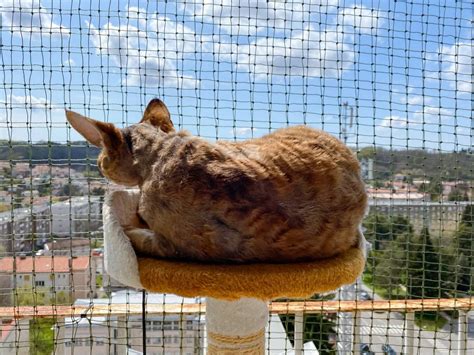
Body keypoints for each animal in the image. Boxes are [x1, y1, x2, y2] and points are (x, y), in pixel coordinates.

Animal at [65, 98, 366, 262]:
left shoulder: (172, 246)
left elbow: (135, 234)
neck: (163, 152)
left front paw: (130, 226)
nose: (99, 164)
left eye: (101, 160)